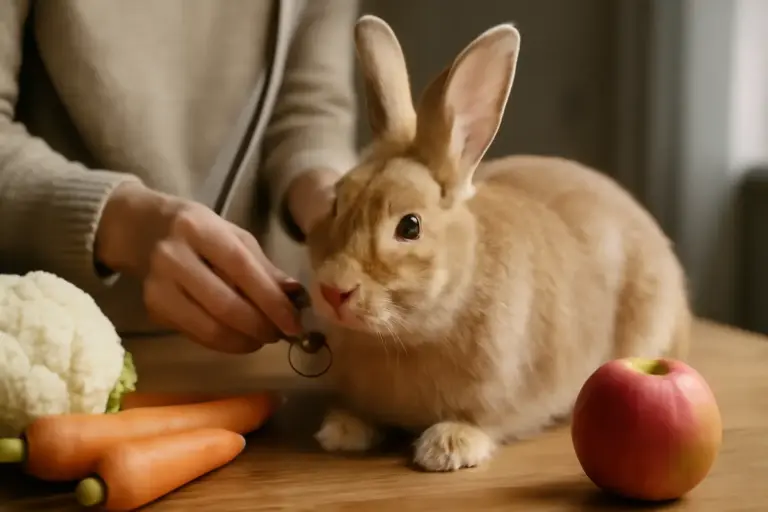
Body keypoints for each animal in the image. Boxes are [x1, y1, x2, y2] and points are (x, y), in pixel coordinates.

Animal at [303, 14, 691, 473]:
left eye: (410, 226)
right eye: (336, 202)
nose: (333, 289)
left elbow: (483, 422)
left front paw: (447, 447)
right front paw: (342, 431)